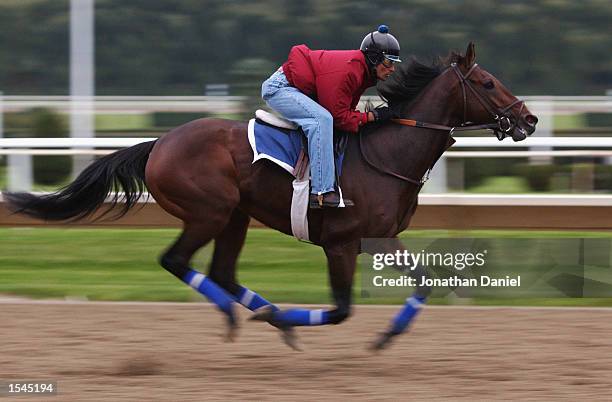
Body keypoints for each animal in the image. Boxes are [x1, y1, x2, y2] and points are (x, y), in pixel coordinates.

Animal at [5, 44, 540, 350]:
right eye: (488, 82)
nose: (529, 119)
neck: (388, 152)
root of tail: (159, 142)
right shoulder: (341, 243)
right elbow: (341, 309)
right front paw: (298, 318)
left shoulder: (381, 238)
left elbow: (426, 282)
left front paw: (389, 334)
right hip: (209, 210)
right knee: (176, 260)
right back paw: (249, 315)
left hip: (235, 216)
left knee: (221, 271)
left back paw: (268, 317)